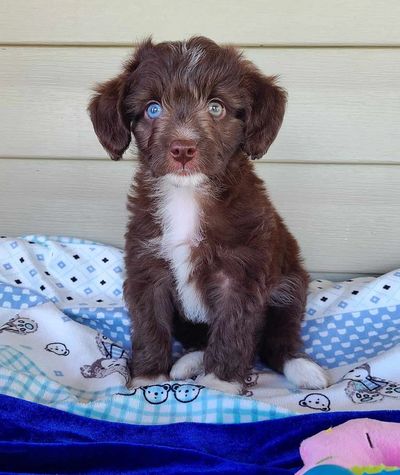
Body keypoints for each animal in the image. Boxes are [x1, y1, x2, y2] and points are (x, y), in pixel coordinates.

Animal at [90, 36, 328, 394]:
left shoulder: (240, 273)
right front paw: (148, 378)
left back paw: (302, 368)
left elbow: (232, 329)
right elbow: (149, 324)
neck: (187, 195)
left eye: (216, 107)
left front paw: (220, 384)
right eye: (153, 109)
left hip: (290, 287)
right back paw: (188, 362)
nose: (182, 149)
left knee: (277, 338)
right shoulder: (148, 268)